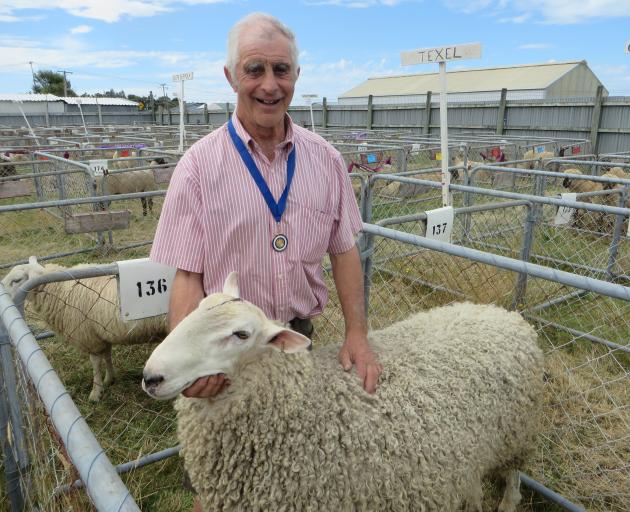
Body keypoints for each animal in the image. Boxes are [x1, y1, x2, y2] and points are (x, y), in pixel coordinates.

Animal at [1, 256, 168, 400]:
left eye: (16, 280)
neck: (60, 289)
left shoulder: (89, 337)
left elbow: (95, 364)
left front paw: (96, 392)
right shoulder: (101, 334)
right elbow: (107, 356)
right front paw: (109, 379)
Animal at [142, 272, 544, 512]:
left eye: (241, 335)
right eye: (196, 308)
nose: (151, 377)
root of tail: (501, 314)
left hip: (516, 433)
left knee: (514, 473)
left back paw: (508, 502)